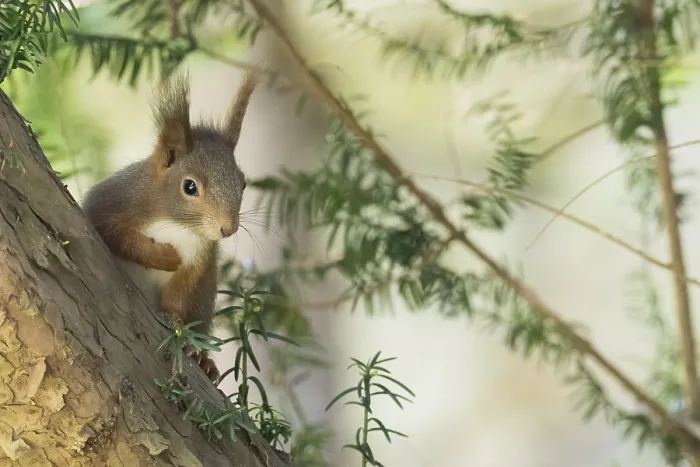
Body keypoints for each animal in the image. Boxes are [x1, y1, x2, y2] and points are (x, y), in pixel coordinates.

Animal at [82, 70, 260, 383]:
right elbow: (116, 235)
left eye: (243, 183)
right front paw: (164, 256)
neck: (177, 225)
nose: (228, 229)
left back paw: (204, 360)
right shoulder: (110, 203)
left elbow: (180, 294)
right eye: (189, 186)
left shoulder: (200, 258)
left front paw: (179, 329)